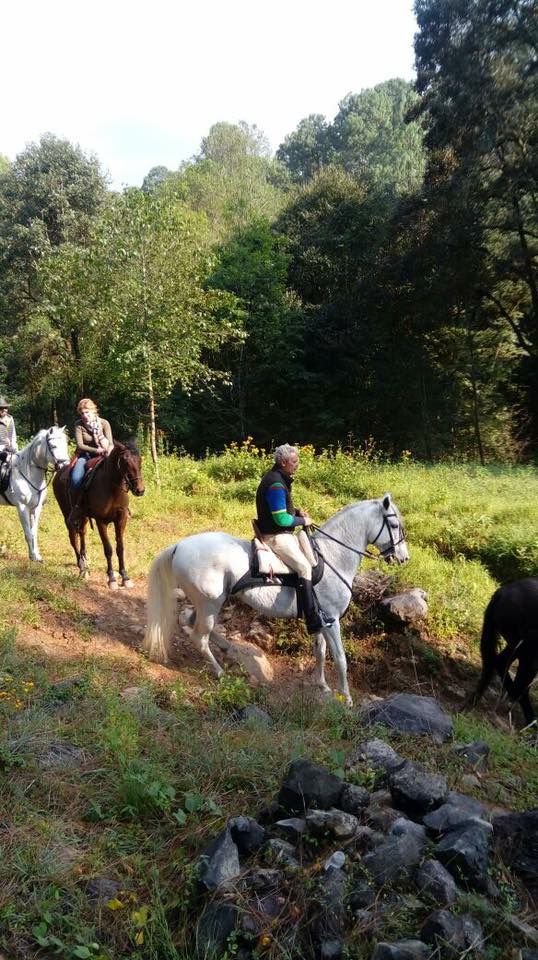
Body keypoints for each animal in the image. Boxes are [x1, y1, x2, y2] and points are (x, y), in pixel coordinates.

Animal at [0, 428, 69, 564]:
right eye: (53, 446)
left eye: (65, 444)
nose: (66, 465)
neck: (27, 472)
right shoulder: (22, 508)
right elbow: (27, 533)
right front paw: (32, 556)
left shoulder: (36, 508)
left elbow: (34, 532)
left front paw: (36, 556)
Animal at [52, 440, 144, 588]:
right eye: (125, 461)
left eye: (140, 460)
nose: (140, 490)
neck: (112, 488)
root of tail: (59, 472)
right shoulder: (101, 521)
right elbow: (108, 549)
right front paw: (111, 578)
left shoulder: (121, 519)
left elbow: (120, 548)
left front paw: (125, 577)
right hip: (67, 515)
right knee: (73, 538)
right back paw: (82, 568)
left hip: (83, 517)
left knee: (82, 533)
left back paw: (85, 561)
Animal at [142, 496, 406, 704]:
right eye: (393, 524)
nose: (403, 558)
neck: (333, 556)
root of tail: (179, 546)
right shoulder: (332, 620)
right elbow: (340, 659)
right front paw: (347, 698)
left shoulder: (320, 620)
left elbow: (320, 652)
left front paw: (322, 686)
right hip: (209, 605)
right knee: (199, 637)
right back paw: (220, 672)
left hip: (210, 603)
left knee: (189, 619)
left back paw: (227, 647)